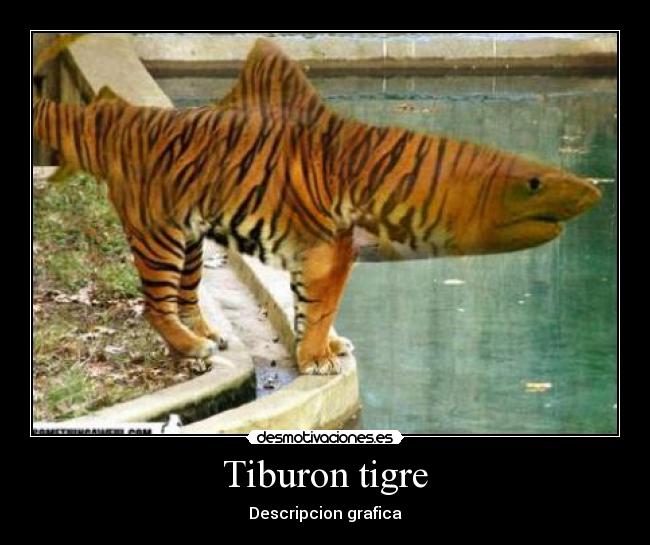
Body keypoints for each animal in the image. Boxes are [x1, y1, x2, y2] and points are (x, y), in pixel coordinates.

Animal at [33, 38, 601, 375]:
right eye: (534, 183)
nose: (593, 191)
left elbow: (315, 309)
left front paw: (323, 349)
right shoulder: (330, 248)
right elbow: (321, 307)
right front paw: (318, 358)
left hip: (190, 240)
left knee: (183, 295)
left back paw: (206, 333)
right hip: (158, 235)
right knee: (153, 303)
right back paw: (191, 348)